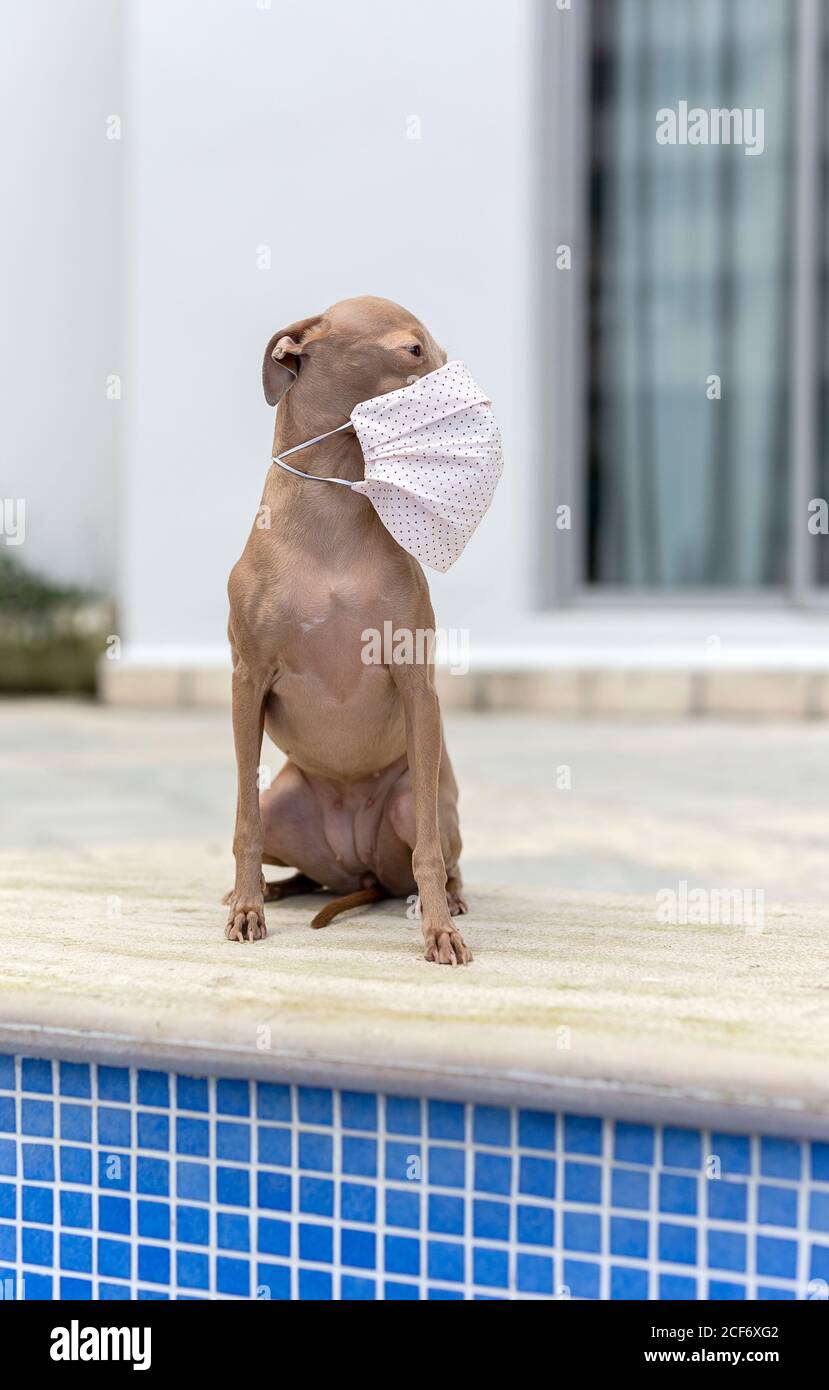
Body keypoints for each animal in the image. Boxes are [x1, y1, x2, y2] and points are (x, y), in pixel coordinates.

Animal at [223, 293, 472, 967]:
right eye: (413, 349)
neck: (331, 518)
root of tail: (357, 865)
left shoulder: (416, 683)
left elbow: (429, 853)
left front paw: (440, 931)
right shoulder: (246, 681)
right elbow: (243, 822)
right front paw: (247, 907)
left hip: (412, 802)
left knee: (435, 854)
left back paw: (451, 898)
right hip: (286, 802)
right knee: (291, 852)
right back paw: (270, 890)